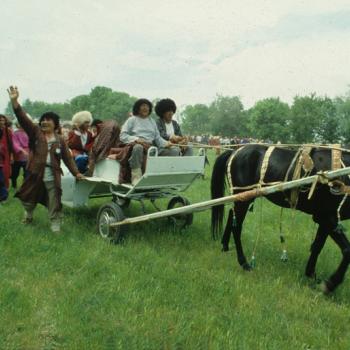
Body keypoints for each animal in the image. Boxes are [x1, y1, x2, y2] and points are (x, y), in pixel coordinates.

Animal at [211, 144, 350, 292]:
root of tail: (235, 151)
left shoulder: (324, 219)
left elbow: (317, 246)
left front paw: (311, 274)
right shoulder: (327, 217)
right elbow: (347, 250)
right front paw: (330, 283)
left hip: (243, 198)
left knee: (232, 216)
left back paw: (225, 246)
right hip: (243, 197)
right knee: (236, 227)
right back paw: (244, 263)